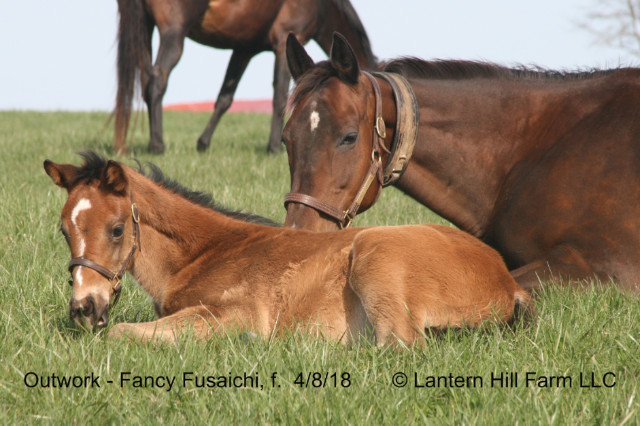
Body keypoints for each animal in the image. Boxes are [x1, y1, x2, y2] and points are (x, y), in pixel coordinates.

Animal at [43, 153, 528, 346]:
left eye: (117, 229)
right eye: (65, 231)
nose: (84, 308)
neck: (206, 251)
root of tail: (506, 279)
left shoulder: (236, 313)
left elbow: (122, 332)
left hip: (375, 255)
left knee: (399, 344)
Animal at [114, 0, 376, 153]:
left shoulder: (244, 49)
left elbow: (225, 98)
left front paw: (203, 144)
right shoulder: (285, 41)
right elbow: (280, 97)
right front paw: (274, 148)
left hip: (144, 29)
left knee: (146, 82)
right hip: (173, 33)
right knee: (157, 82)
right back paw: (157, 145)